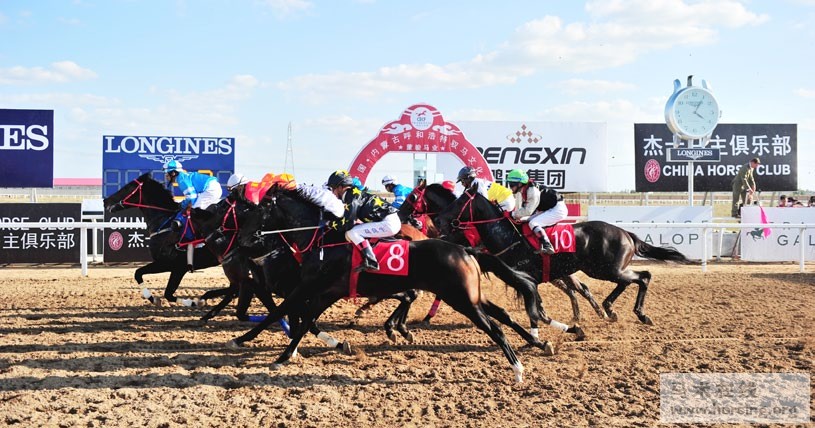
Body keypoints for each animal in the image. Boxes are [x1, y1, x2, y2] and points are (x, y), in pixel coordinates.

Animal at [103, 173, 224, 305]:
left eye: (127, 187)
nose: (105, 201)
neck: (165, 224)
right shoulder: (171, 266)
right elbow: (139, 274)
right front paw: (153, 298)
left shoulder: (172, 265)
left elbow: (167, 293)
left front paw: (193, 302)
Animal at [228, 184, 555, 383]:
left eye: (258, 210)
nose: (242, 240)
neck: (322, 240)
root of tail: (465, 250)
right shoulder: (324, 291)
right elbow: (304, 319)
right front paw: (290, 350)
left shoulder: (312, 287)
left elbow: (281, 312)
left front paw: (255, 345)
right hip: (471, 296)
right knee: (503, 314)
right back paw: (538, 342)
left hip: (461, 299)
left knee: (495, 328)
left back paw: (518, 369)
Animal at [435, 184, 691, 326]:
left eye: (459, 201)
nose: (438, 221)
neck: (508, 236)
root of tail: (626, 233)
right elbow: (538, 306)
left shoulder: (527, 278)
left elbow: (537, 308)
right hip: (606, 269)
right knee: (630, 280)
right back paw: (609, 309)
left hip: (606, 269)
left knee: (643, 276)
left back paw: (638, 313)